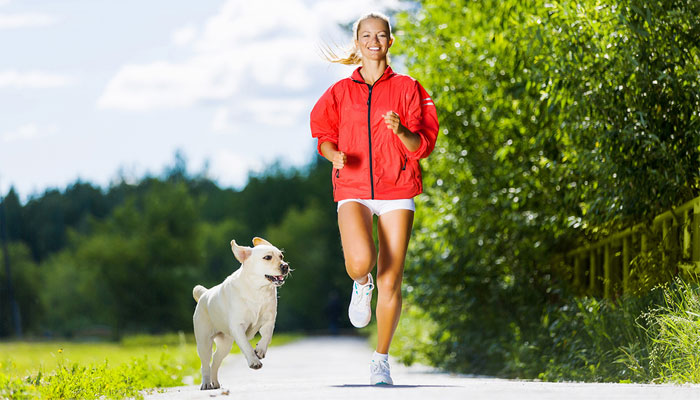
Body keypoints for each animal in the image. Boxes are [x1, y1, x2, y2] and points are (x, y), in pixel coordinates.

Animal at [191, 238, 288, 390]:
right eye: (267, 257)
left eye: (281, 256)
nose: (285, 266)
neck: (258, 290)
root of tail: (204, 294)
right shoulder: (238, 326)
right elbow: (246, 346)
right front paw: (254, 362)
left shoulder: (269, 320)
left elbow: (267, 336)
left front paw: (260, 350)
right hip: (204, 342)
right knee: (205, 364)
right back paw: (206, 383)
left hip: (225, 344)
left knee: (215, 361)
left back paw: (215, 383)